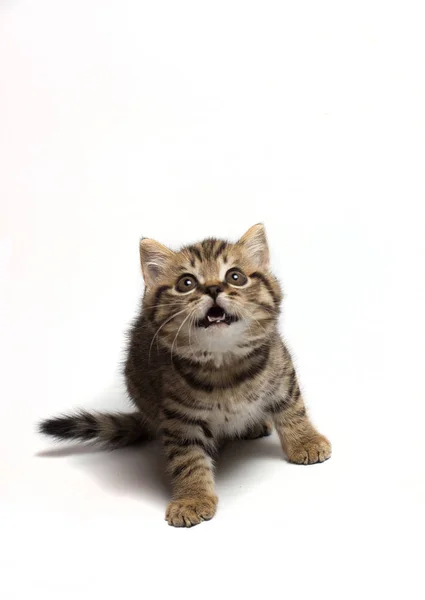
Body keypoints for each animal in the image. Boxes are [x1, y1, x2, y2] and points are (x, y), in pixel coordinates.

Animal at [39, 224, 332, 524]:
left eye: (235, 276)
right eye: (186, 283)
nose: (213, 288)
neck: (223, 363)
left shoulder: (282, 371)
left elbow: (293, 408)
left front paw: (305, 441)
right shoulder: (179, 418)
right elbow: (187, 459)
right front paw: (192, 498)